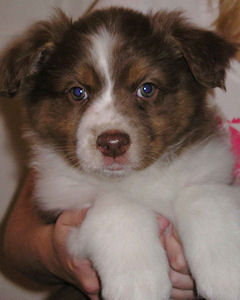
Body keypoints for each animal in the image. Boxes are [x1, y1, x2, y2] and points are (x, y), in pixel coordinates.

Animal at [0, 7, 240, 300]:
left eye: (146, 88)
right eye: (77, 92)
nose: (112, 143)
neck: (137, 178)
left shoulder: (211, 167)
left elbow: (204, 196)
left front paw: (227, 275)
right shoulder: (62, 210)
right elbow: (118, 204)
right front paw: (138, 283)